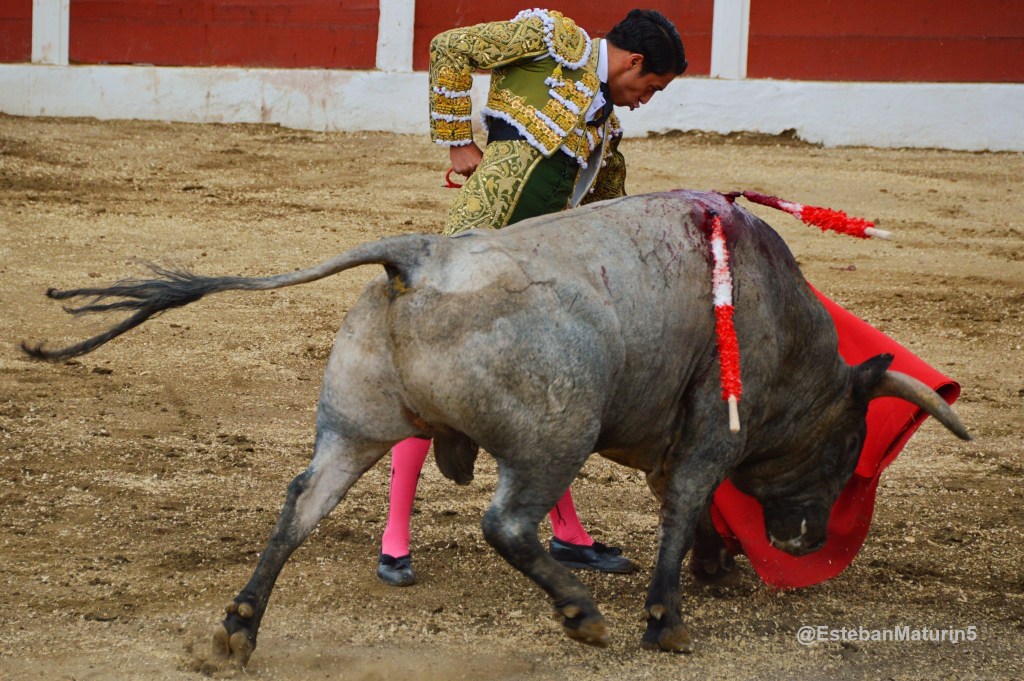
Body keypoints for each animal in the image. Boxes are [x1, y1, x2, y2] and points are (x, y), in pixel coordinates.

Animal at [23, 190, 970, 670]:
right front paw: (667, 616)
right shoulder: (709, 432)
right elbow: (686, 502)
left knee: (300, 505)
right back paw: (581, 611)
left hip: (353, 427)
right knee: (507, 522)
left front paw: (712, 568)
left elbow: (687, 505)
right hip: (555, 433)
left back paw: (239, 626)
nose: (806, 538)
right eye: (850, 444)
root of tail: (418, 254)